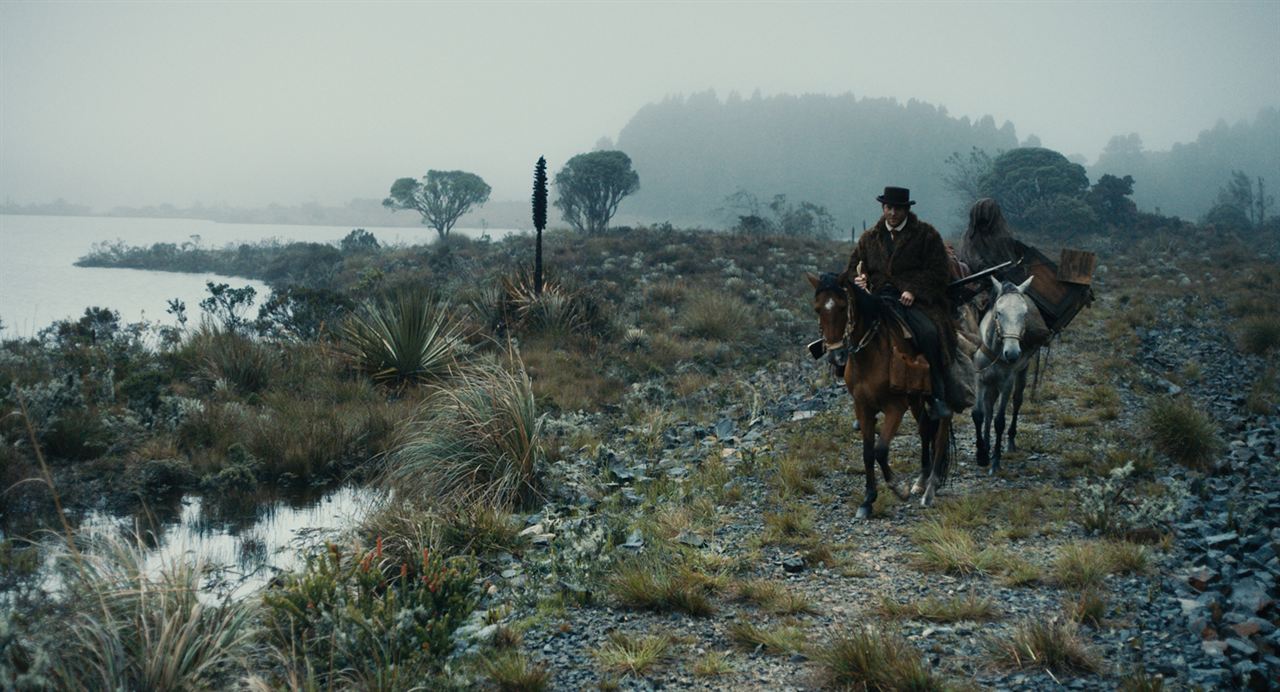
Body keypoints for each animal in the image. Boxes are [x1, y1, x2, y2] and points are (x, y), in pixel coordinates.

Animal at [808, 271, 952, 516]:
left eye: (842, 306)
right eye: (818, 309)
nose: (837, 356)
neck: (870, 357)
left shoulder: (895, 408)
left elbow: (881, 450)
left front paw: (898, 488)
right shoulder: (863, 408)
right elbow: (868, 453)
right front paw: (868, 500)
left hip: (932, 395)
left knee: (940, 429)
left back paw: (931, 486)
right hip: (915, 399)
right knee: (925, 428)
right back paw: (921, 480)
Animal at [967, 275, 1039, 475]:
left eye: (1024, 314)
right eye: (998, 313)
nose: (1012, 354)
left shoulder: (1006, 383)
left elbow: (999, 421)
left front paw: (995, 461)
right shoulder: (980, 379)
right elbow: (979, 414)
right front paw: (982, 454)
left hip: (1022, 371)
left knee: (1017, 401)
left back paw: (1010, 442)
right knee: (988, 409)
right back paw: (986, 445)